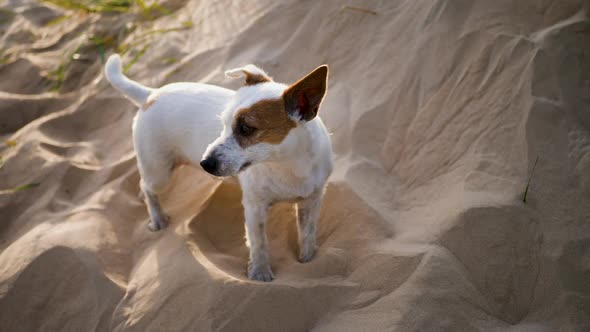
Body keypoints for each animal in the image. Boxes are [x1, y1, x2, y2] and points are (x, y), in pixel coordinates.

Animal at [105, 55, 332, 282]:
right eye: (222, 124)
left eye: (246, 129)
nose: (205, 163)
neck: (287, 165)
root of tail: (151, 95)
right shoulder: (254, 207)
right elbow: (258, 243)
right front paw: (260, 272)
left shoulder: (312, 200)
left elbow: (308, 233)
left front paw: (308, 259)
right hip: (159, 172)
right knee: (146, 186)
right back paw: (157, 218)